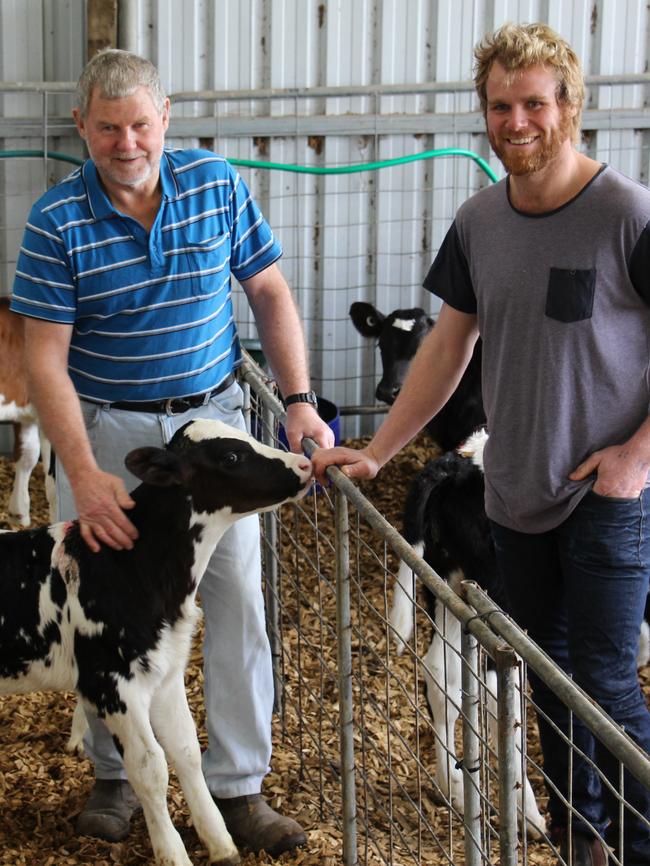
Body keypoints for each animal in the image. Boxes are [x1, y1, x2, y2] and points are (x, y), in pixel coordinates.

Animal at [0, 418, 312, 864]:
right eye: (231, 456)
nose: (304, 464)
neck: (132, 566)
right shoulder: (113, 684)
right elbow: (150, 768)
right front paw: (173, 853)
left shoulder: (164, 674)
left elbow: (186, 751)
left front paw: (220, 842)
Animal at [388, 430, 544, 836]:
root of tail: (460, 465)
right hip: (498, 593)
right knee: (497, 693)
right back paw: (527, 812)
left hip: (448, 580)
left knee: (442, 672)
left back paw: (453, 787)